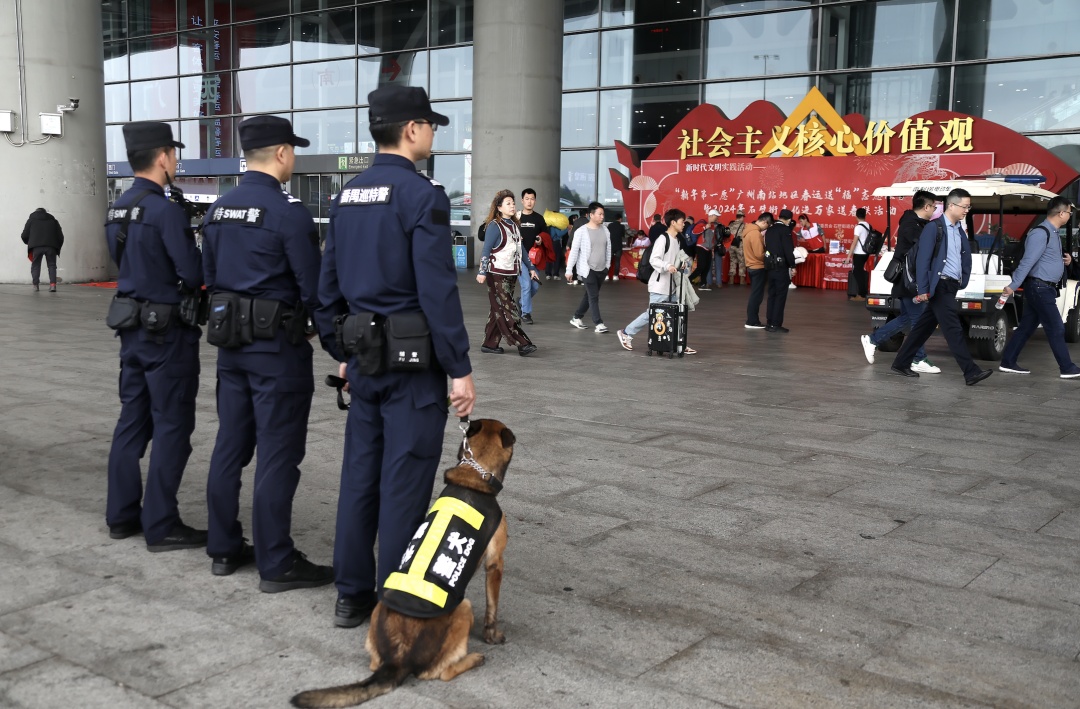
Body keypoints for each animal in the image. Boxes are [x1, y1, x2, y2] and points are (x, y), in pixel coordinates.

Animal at [291, 417, 514, 704]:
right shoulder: (495, 563)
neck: (475, 476)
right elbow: (492, 607)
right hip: (463, 607)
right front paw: (492, 636)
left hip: (381, 609)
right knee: (442, 673)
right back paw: (474, 658)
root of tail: (397, 660)